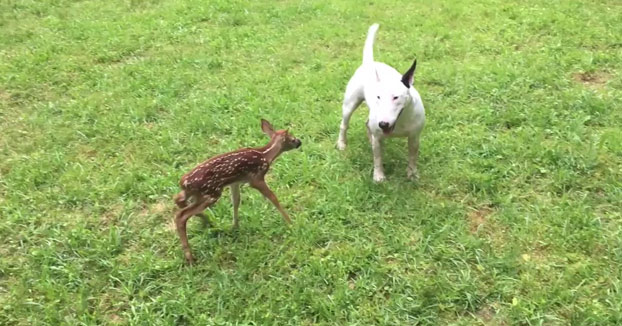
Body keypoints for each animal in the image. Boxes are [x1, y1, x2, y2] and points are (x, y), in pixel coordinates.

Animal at [338, 23, 426, 182]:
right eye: (378, 97)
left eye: (396, 97)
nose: (383, 124)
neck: (400, 121)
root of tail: (369, 62)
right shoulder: (379, 138)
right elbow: (378, 158)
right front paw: (378, 176)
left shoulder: (414, 137)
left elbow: (412, 156)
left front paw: (412, 174)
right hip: (350, 104)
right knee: (344, 125)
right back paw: (341, 143)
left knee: (367, 124)